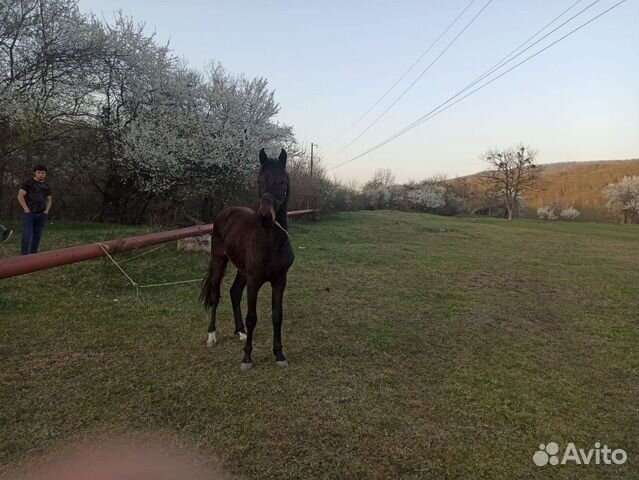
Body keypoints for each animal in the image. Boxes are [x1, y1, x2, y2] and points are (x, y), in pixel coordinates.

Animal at [201, 148, 296, 370]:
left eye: (282, 181)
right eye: (259, 181)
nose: (265, 217)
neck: (270, 242)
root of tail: (225, 213)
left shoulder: (280, 281)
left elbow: (277, 316)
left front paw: (279, 354)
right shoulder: (254, 281)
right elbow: (252, 317)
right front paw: (247, 357)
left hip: (242, 270)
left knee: (234, 292)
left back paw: (241, 332)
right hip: (219, 261)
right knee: (215, 296)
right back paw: (212, 337)